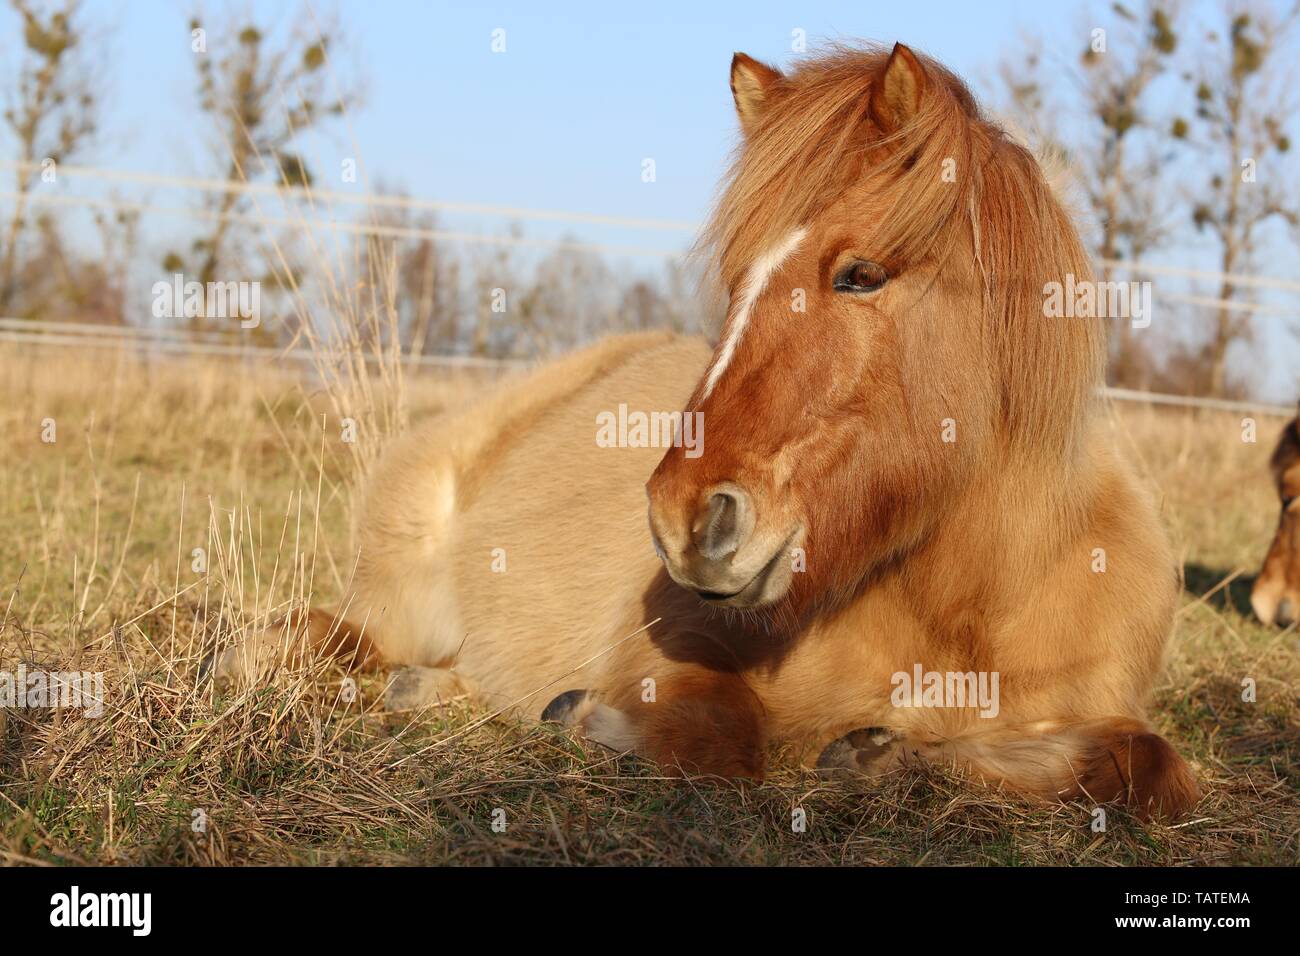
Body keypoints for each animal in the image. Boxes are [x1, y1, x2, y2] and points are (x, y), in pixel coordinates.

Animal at [213, 42, 1196, 822]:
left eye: (860, 274)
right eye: (737, 277)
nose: (684, 519)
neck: (963, 606)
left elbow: (1147, 769)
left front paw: (886, 758)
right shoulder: (668, 659)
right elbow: (717, 739)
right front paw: (590, 722)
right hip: (398, 598)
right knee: (331, 637)